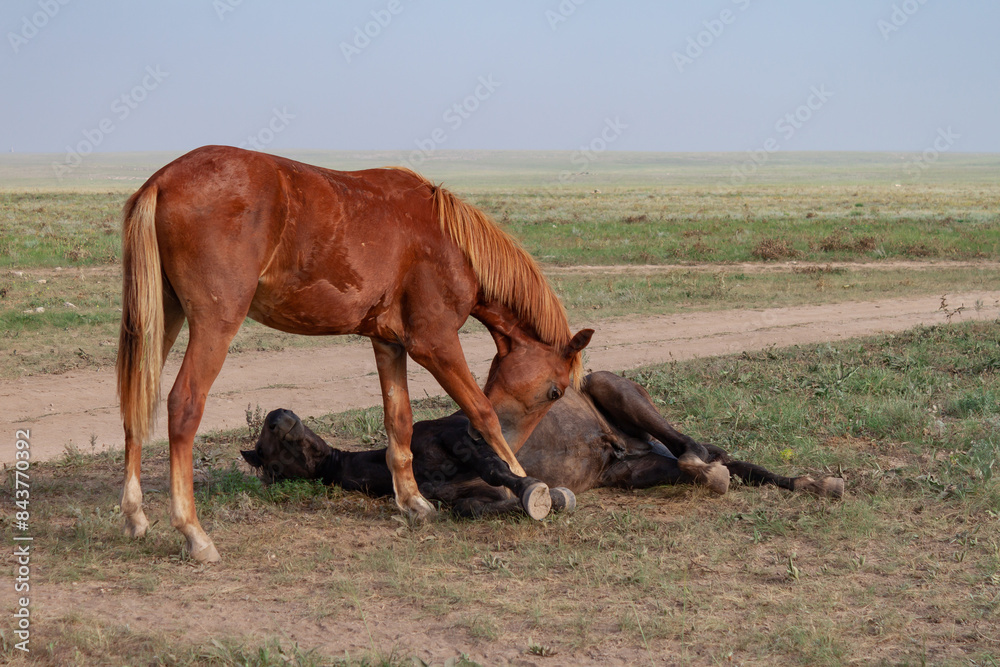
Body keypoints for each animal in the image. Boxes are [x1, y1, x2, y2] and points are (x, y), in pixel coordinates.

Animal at [116, 146, 592, 562]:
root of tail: (163, 180)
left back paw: (136, 518)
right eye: (554, 392)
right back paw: (194, 534)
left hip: (162, 317)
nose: (522, 446)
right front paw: (523, 482)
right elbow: (483, 412)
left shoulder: (389, 343)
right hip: (215, 324)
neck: (447, 242)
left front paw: (413, 502)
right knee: (183, 406)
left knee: (134, 405)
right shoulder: (435, 343)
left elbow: (399, 421)